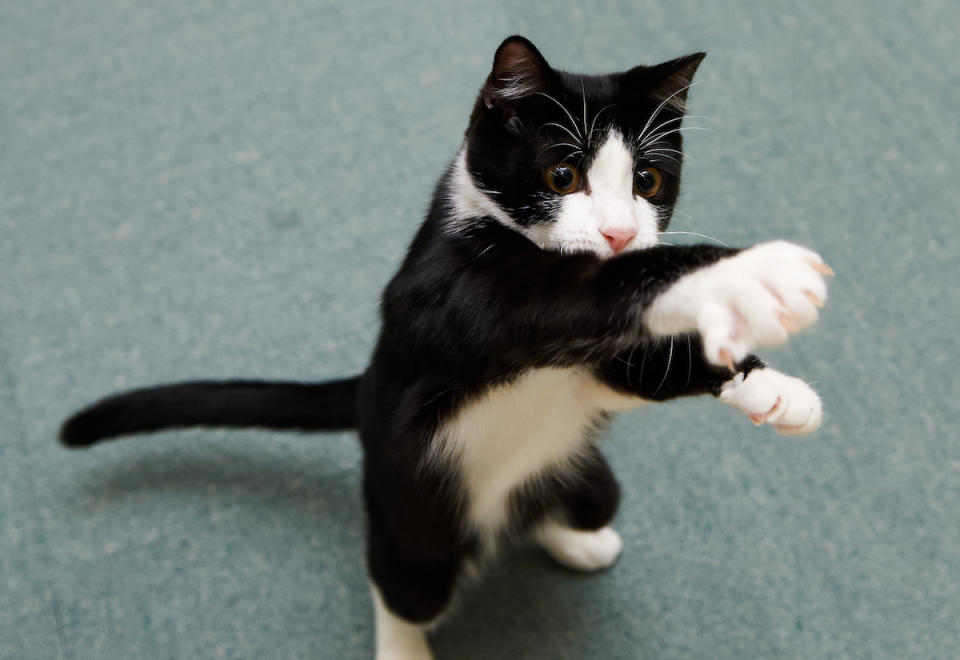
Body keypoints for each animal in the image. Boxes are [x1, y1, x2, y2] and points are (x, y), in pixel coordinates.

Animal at [60, 36, 828, 660]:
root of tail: (365, 387)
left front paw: (773, 388)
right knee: (398, 583)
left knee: (571, 501)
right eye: (562, 176)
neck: (497, 229)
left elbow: (638, 361)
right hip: (411, 515)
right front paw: (755, 273)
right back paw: (404, 643)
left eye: (648, 181)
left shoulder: (591, 364)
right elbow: (597, 287)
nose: (618, 233)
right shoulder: (461, 295)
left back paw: (575, 535)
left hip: (587, 482)